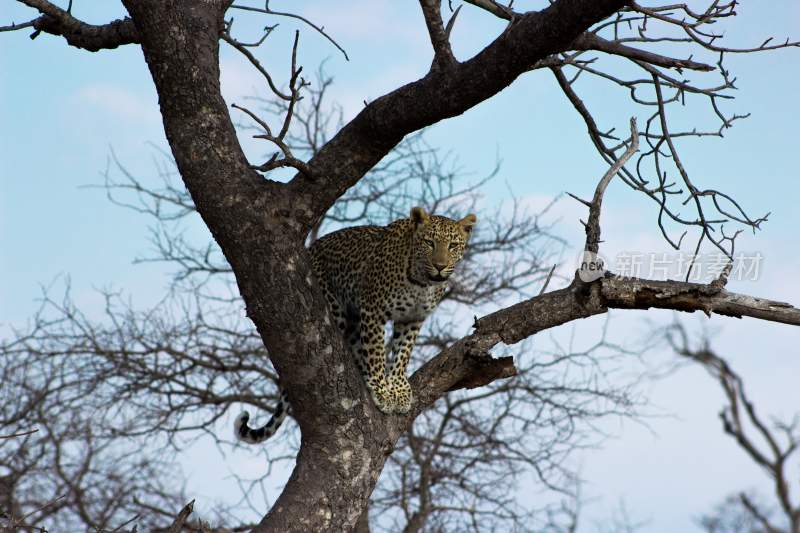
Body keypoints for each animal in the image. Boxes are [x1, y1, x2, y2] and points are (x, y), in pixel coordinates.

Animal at [234, 206, 478, 442]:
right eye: (429, 243)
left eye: (453, 246)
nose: (440, 266)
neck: (421, 282)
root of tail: (310, 249)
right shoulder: (373, 309)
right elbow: (377, 353)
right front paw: (382, 391)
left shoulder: (412, 319)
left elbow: (402, 354)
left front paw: (399, 389)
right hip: (334, 307)